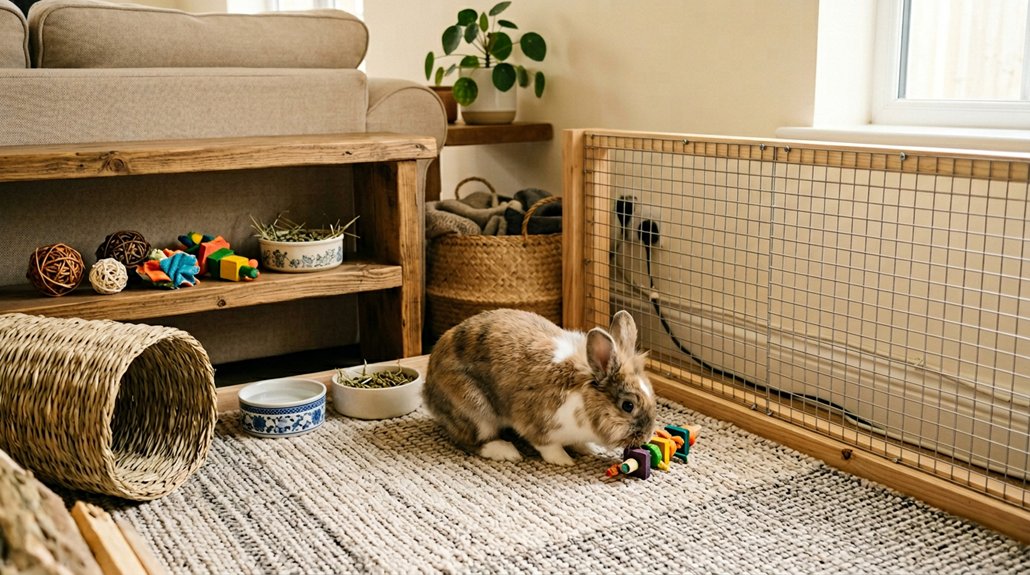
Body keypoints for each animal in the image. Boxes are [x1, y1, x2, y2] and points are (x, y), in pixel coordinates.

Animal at [423, 308, 656, 466]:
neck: (585, 401)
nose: (646, 437)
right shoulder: (537, 423)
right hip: (476, 411)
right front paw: (564, 460)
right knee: (469, 441)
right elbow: (548, 446)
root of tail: (428, 390)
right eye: (628, 406)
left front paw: (588, 448)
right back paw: (506, 451)